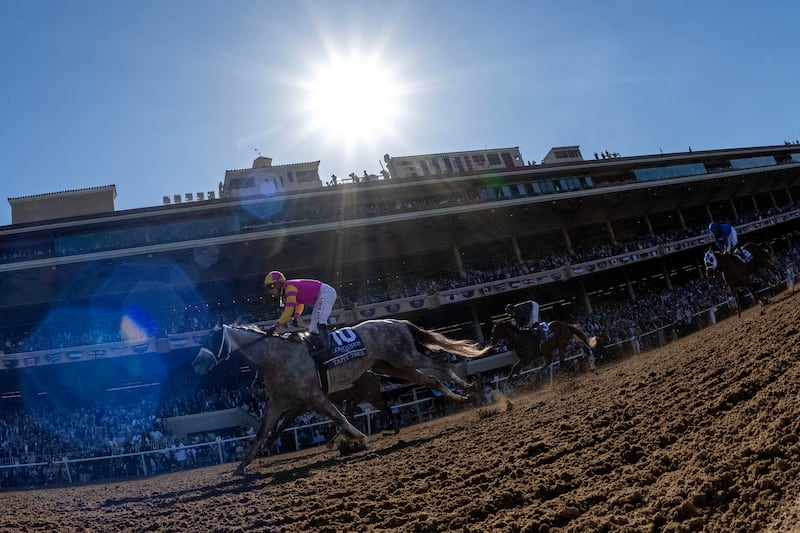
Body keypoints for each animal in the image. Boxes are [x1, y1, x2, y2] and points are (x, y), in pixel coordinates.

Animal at [191, 318, 488, 472]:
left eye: (211, 340)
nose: (196, 365)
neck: (277, 357)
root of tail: (396, 321)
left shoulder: (312, 397)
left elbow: (339, 418)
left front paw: (359, 438)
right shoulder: (279, 402)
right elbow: (263, 431)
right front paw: (243, 464)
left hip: (404, 357)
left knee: (440, 363)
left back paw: (470, 389)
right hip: (394, 365)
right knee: (431, 378)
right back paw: (463, 397)